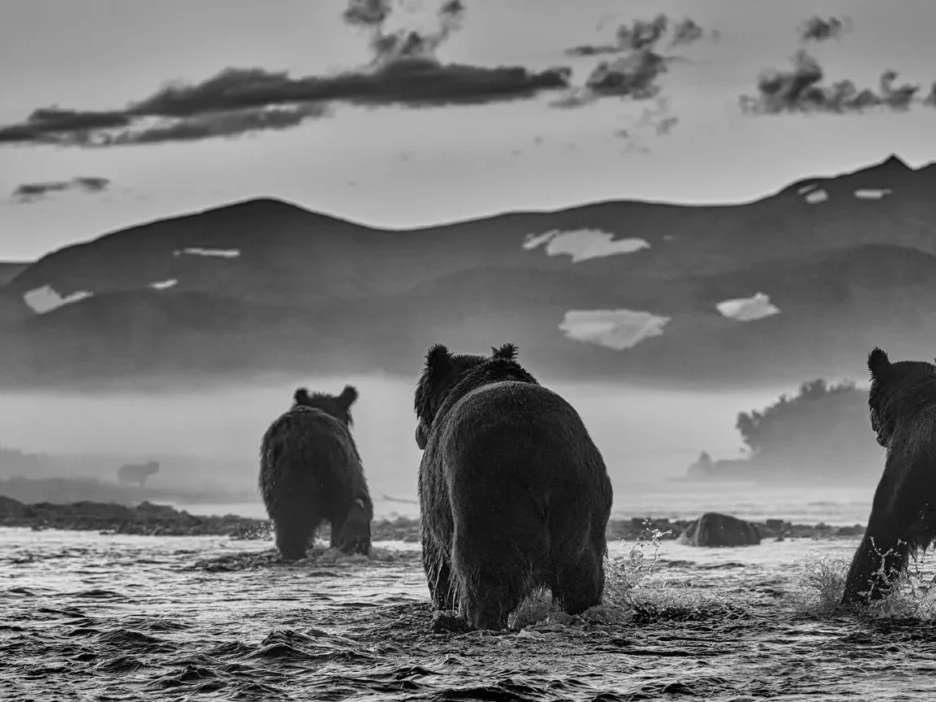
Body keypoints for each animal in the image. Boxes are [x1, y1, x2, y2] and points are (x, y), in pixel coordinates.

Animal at [413, 341, 614, 630]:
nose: (419, 434)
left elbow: (437, 563)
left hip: (486, 499)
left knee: (483, 581)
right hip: (583, 505)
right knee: (582, 582)